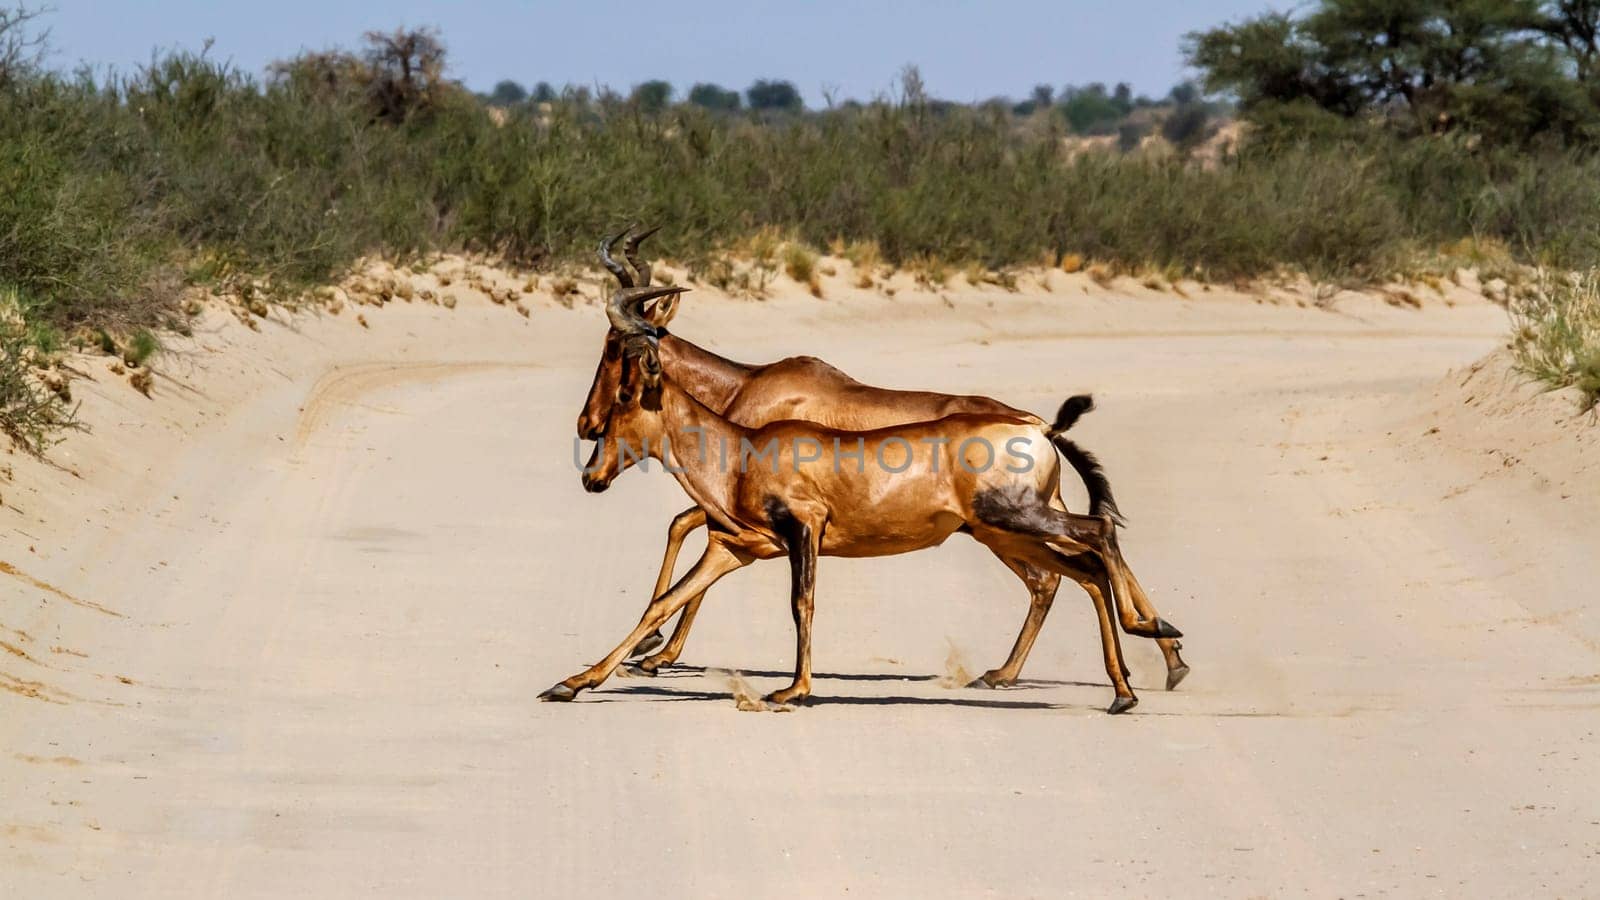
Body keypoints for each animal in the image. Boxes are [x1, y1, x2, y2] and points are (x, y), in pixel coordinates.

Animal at [576, 225, 1190, 685]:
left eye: (613, 348)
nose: (587, 426)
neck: (751, 385)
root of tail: (1037, 425)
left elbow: (683, 528)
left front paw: (655, 653)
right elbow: (691, 537)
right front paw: (649, 650)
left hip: (1006, 522)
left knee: (1074, 558)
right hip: (1008, 522)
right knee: (1079, 558)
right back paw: (1155, 656)